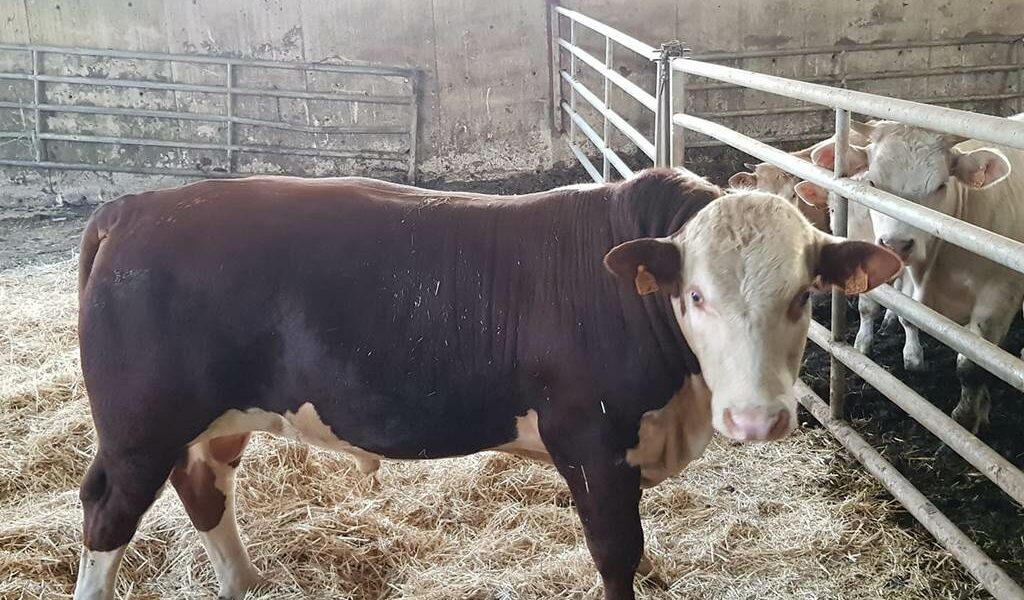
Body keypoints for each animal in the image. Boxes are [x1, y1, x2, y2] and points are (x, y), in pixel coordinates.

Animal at [72, 168, 900, 600]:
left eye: (802, 296)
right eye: (695, 295)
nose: (758, 420)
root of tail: (135, 206)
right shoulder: (591, 444)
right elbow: (617, 552)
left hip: (210, 419)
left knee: (205, 486)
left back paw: (247, 583)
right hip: (139, 428)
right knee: (107, 514)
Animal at [809, 118, 1024, 433]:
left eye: (941, 185)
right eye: (873, 183)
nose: (895, 245)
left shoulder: (997, 300)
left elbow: (973, 366)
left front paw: (967, 417)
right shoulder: (908, 284)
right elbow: (905, 318)